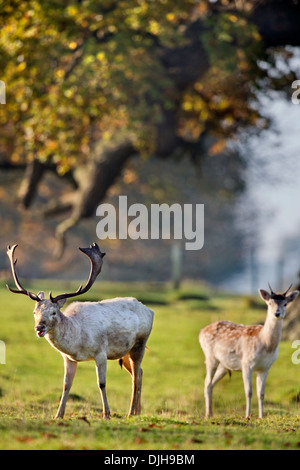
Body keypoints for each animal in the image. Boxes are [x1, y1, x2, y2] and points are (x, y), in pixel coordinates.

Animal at [5, 242, 154, 418]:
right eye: (35, 312)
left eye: (53, 312)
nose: (39, 327)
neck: (78, 341)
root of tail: (149, 310)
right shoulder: (68, 358)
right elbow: (66, 385)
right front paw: (58, 415)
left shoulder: (101, 352)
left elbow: (101, 383)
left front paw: (107, 414)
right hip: (124, 352)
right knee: (140, 373)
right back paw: (137, 412)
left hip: (140, 343)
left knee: (136, 377)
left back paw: (131, 412)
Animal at [198, 282, 298, 418]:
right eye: (269, 303)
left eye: (285, 304)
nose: (277, 314)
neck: (266, 345)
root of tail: (201, 332)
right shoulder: (246, 363)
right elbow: (249, 391)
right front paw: (247, 415)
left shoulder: (265, 368)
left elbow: (261, 394)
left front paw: (261, 416)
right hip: (210, 356)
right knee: (207, 382)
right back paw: (208, 414)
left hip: (224, 365)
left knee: (212, 383)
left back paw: (211, 413)